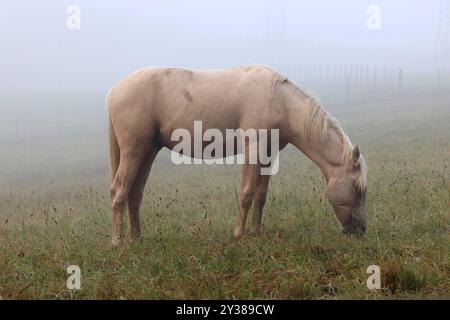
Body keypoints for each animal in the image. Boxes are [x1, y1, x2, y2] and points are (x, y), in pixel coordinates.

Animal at [107, 64, 368, 245]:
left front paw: (256, 231)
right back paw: (118, 242)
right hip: (133, 150)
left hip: (148, 151)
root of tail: (115, 90)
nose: (361, 230)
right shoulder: (253, 149)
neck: (280, 101)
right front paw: (239, 234)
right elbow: (246, 193)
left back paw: (137, 239)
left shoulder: (268, 154)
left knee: (134, 194)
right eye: (358, 189)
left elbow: (261, 195)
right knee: (119, 191)